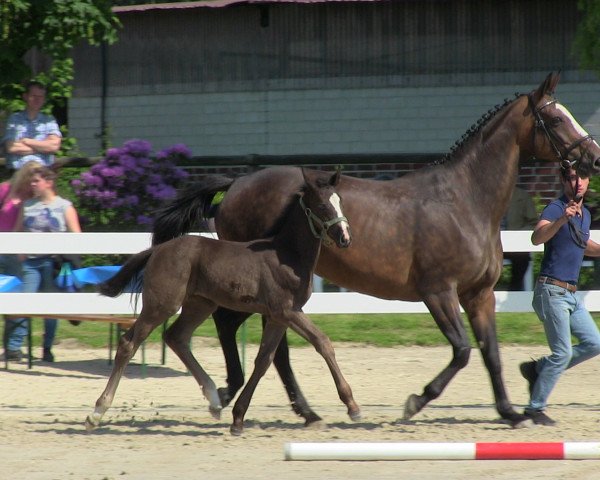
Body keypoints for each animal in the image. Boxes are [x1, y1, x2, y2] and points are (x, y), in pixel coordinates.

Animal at [84, 168, 356, 436]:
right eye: (322, 205)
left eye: (340, 201)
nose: (345, 238)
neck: (286, 254)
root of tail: (158, 249)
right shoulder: (288, 310)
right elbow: (323, 343)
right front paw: (352, 406)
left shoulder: (279, 316)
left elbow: (264, 360)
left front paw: (238, 418)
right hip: (161, 305)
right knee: (129, 344)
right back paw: (96, 413)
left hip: (200, 304)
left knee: (176, 337)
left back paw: (214, 400)